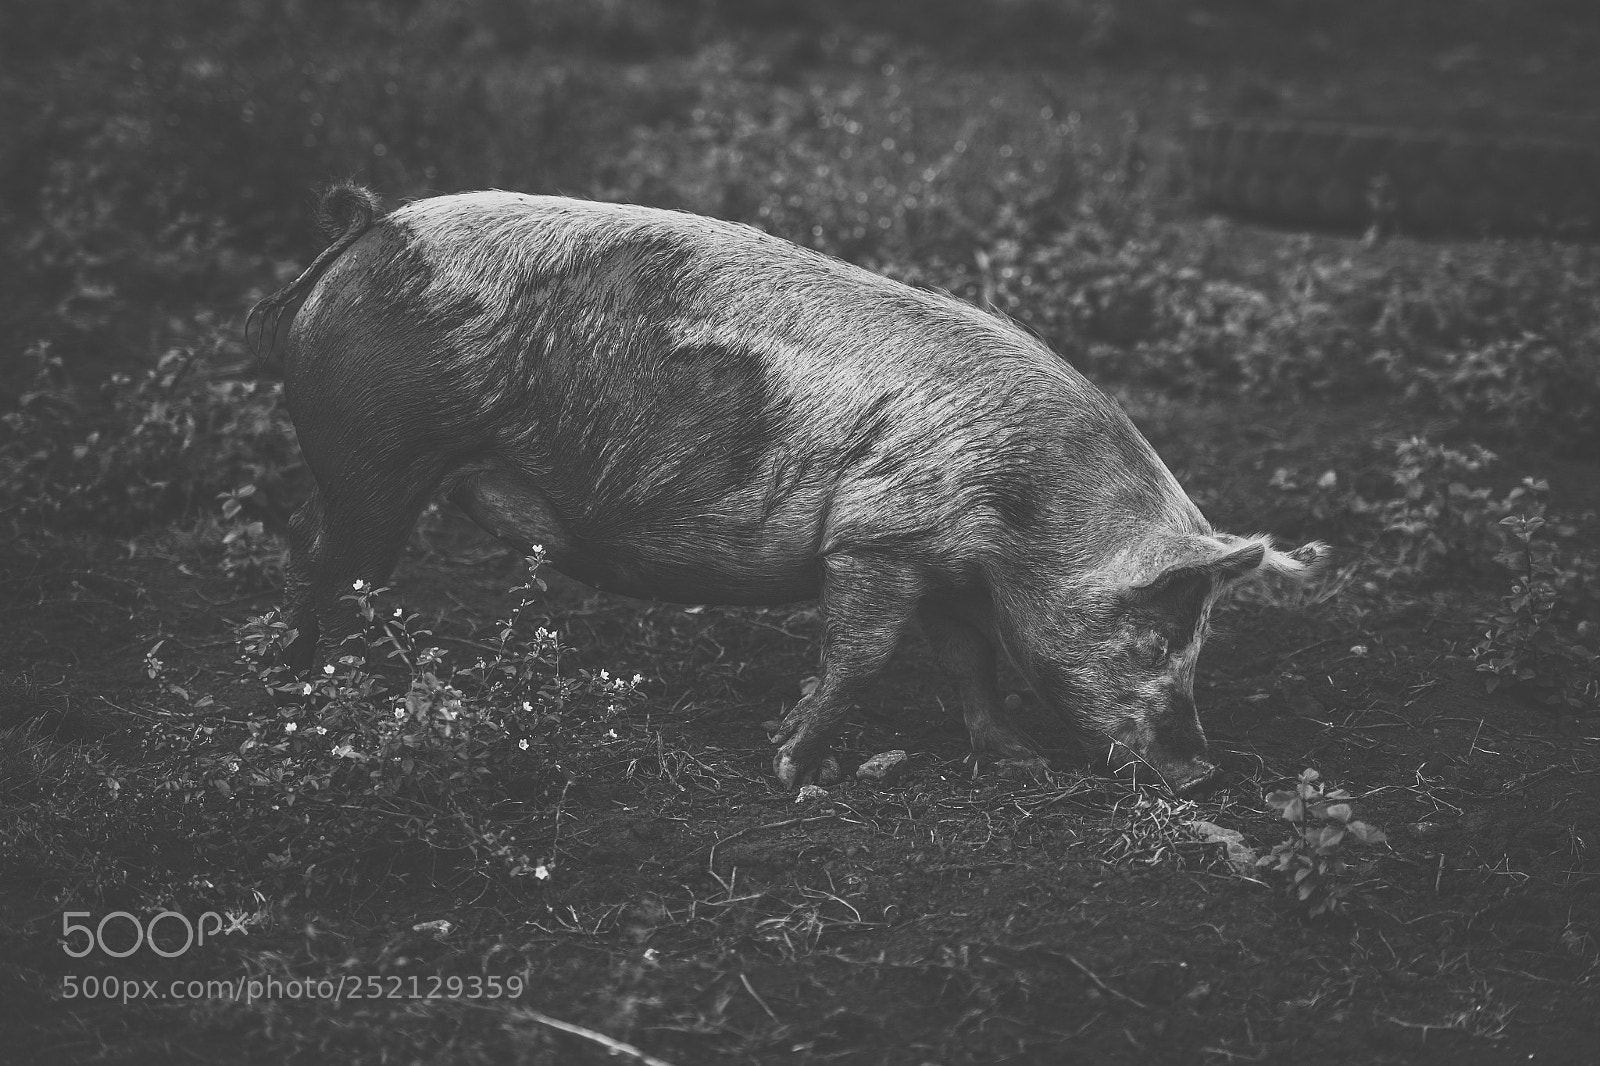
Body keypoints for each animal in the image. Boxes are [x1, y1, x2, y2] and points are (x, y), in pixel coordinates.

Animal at [248, 183, 1328, 795]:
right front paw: (789, 772)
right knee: (330, 562)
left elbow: (971, 664)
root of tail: (368, 229)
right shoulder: (876, 539)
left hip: (364, 465)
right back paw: (315, 688)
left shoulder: (947, 567)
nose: (1203, 774)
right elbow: (859, 657)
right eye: (1155, 631)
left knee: (310, 547)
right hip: (377, 452)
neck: (1029, 513)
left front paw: (1015, 760)